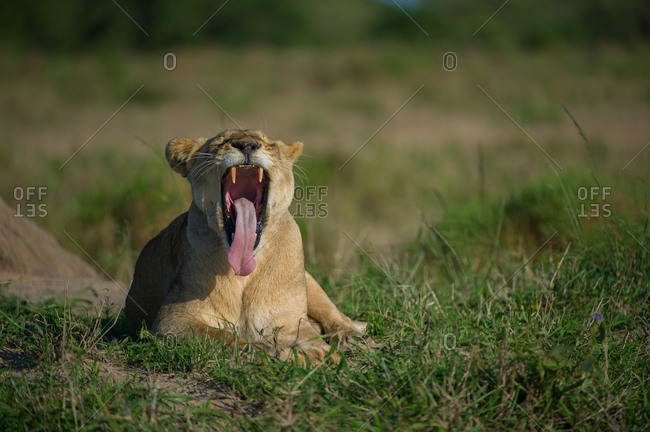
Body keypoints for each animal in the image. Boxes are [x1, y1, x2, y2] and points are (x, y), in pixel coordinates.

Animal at [125, 129, 367, 364]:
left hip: (309, 282)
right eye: (220, 141)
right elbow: (223, 337)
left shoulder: (290, 321)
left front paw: (321, 355)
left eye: (268, 142)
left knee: (336, 315)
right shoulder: (172, 320)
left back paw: (352, 338)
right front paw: (273, 352)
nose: (247, 145)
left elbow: (311, 339)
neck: (245, 270)